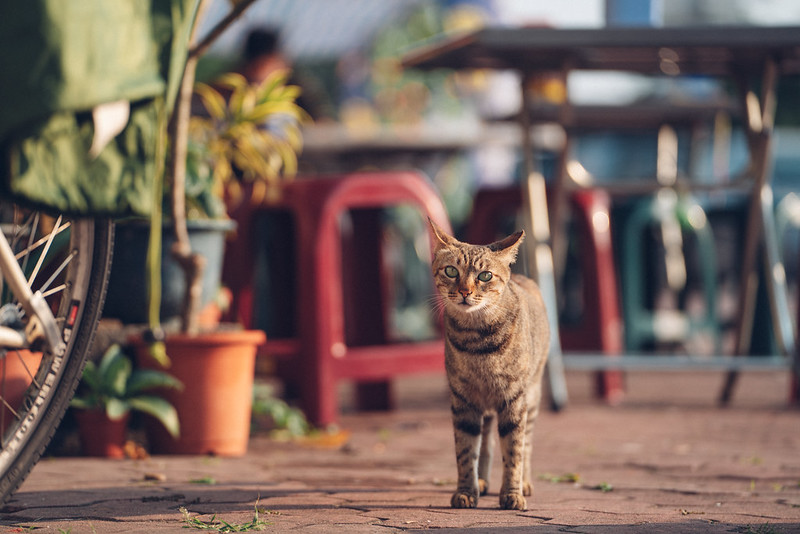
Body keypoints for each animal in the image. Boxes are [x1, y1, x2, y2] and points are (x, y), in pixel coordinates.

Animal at [424, 220, 552, 512]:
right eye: (451, 271)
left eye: (485, 276)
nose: (465, 291)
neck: (477, 342)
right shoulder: (463, 400)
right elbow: (466, 450)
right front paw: (466, 492)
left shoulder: (514, 400)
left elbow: (514, 450)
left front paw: (512, 494)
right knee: (486, 442)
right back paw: (482, 481)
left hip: (532, 396)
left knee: (526, 443)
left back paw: (524, 483)